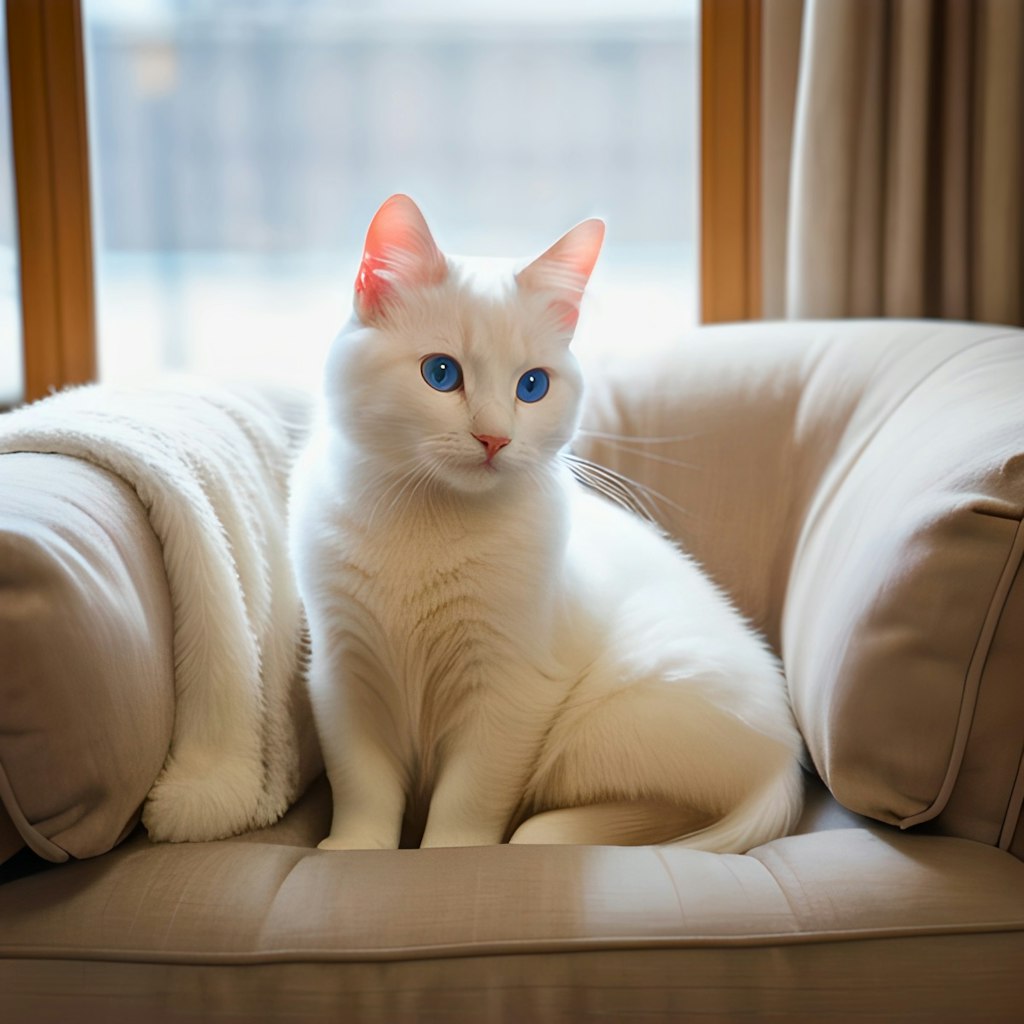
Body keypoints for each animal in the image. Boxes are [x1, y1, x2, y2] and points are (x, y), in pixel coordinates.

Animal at [286, 195, 798, 851]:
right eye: (441, 374)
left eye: (533, 386)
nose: (495, 438)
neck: (427, 523)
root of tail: (786, 757)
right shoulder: (344, 673)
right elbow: (363, 785)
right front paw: (355, 849)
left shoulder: (509, 692)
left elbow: (466, 801)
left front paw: (449, 854)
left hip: (606, 724)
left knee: (657, 813)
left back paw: (551, 830)